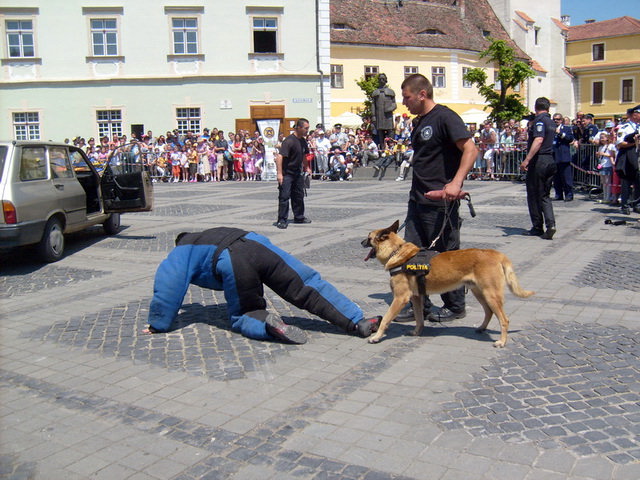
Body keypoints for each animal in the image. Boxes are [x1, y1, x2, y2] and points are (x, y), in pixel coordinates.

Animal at [362, 219, 532, 346]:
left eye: (369, 237)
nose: (361, 242)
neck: (396, 252)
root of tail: (496, 253)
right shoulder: (416, 298)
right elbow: (419, 318)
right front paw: (417, 332)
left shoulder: (400, 298)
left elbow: (385, 319)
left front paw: (376, 336)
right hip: (480, 293)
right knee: (489, 312)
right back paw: (482, 328)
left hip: (491, 295)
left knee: (504, 319)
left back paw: (501, 341)